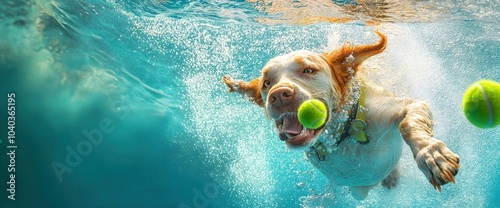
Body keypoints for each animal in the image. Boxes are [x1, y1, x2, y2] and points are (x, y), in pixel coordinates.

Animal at [223, 30, 460, 200]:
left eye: (308, 70)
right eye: (266, 83)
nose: (279, 95)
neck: (343, 136)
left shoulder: (404, 105)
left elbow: (406, 124)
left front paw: (431, 155)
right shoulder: (355, 185)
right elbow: (359, 188)